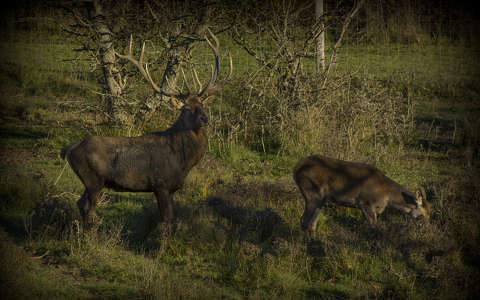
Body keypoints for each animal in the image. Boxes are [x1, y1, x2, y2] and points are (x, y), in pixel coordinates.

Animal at [61, 29, 233, 224]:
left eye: (203, 105)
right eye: (187, 108)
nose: (205, 118)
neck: (183, 160)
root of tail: (69, 149)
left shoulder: (171, 188)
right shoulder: (161, 184)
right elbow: (166, 219)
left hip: (91, 182)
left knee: (80, 204)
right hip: (93, 180)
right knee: (88, 207)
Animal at [292, 155, 432, 237]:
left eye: (430, 214)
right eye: (422, 215)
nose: (427, 231)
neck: (387, 196)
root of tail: (295, 169)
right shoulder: (365, 203)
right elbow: (374, 229)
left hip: (321, 199)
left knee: (312, 222)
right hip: (312, 192)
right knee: (304, 220)